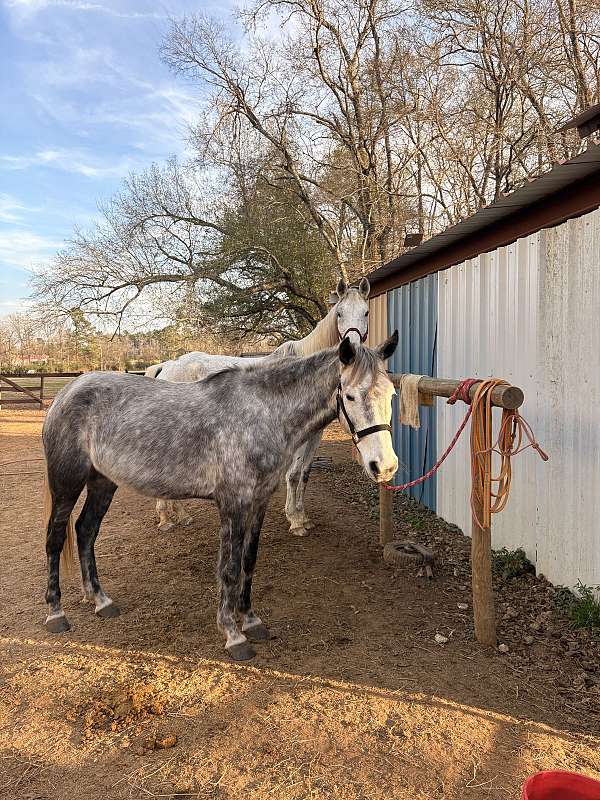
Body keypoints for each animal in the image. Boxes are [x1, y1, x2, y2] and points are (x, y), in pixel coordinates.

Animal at [42, 332, 399, 661]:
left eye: (392, 394)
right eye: (349, 396)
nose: (384, 466)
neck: (263, 415)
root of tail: (68, 391)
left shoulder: (259, 502)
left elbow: (248, 561)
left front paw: (251, 621)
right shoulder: (233, 505)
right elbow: (228, 567)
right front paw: (233, 634)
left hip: (103, 482)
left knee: (86, 531)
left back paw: (100, 600)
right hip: (66, 482)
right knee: (56, 538)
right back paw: (56, 613)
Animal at [146, 277, 371, 536]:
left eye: (366, 312)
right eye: (340, 313)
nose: (353, 352)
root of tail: (167, 365)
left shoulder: (315, 434)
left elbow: (304, 474)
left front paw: (303, 517)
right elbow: (293, 475)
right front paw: (295, 520)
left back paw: (181, 515)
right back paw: (166, 518)